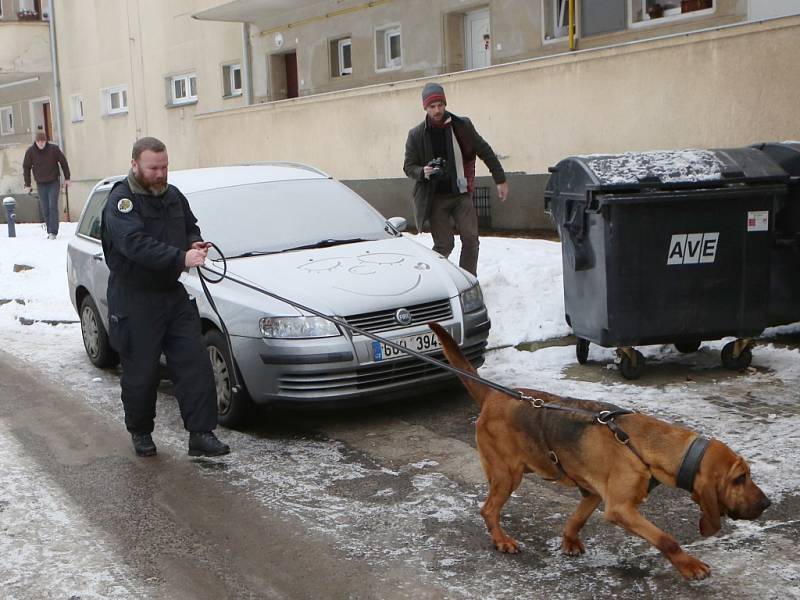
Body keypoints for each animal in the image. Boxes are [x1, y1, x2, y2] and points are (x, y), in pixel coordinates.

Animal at [428, 324, 772, 580]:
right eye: (739, 478)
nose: (767, 504)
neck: (647, 448)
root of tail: (492, 396)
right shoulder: (620, 509)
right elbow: (666, 539)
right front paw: (689, 565)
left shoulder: (592, 494)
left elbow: (576, 520)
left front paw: (569, 543)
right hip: (507, 474)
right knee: (488, 510)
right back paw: (502, 541)